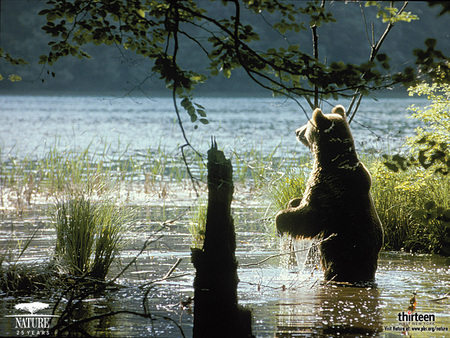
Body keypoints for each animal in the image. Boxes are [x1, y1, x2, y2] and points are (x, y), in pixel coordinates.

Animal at [276, 105, 384, 282]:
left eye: (308, 123)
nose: (297, 131)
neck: (333, 159)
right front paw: (293, 202)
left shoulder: (327, 190)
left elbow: (307, 216)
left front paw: (281, 221)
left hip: (341, 252)